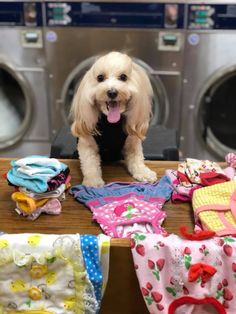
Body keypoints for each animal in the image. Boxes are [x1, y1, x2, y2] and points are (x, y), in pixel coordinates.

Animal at [71, 51, 158, 186]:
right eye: (100, 78)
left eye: (123, 77)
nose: (112, 92)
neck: (111, 124)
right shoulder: (87, 144)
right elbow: (90, 164)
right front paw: (93, 181)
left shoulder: (132, 143)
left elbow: (137, 159)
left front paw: (144, 173)